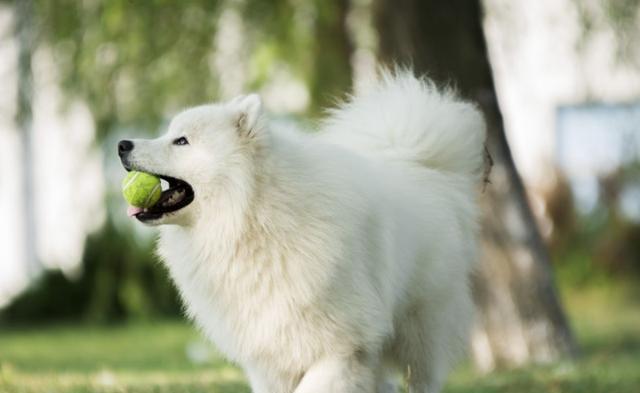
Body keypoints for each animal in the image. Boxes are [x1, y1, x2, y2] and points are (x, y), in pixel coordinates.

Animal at [119, 69, 484, 390]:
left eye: (181, 141)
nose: (122, 144)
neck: (255, 217)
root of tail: (421, 165)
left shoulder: (343, 347)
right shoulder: (270, 356)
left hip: (419, 332)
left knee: (422, 379)